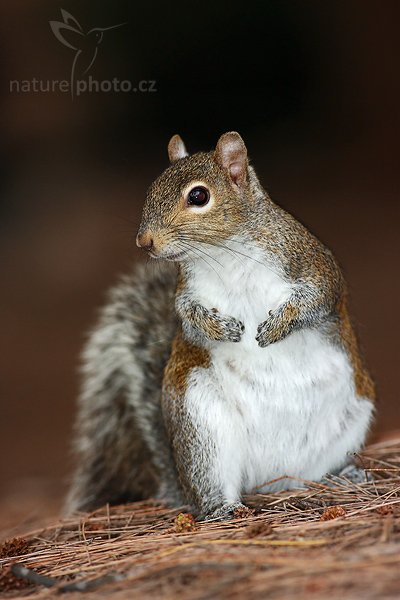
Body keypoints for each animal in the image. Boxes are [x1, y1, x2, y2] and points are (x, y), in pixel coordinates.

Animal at [65, 132, 376, 520]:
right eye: (151, 188)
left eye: (198, 196)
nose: (144, 242)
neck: (225, 253)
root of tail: (270, 478)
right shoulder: (187, 292)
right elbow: (188, 317)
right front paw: (221, 329)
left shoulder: (309, 261)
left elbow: (319, 296)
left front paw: (277, 327)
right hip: (203, 428)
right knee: (212, 488)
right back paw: (224, 508)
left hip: (350, 422)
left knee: (311, 474)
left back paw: (342, 477)